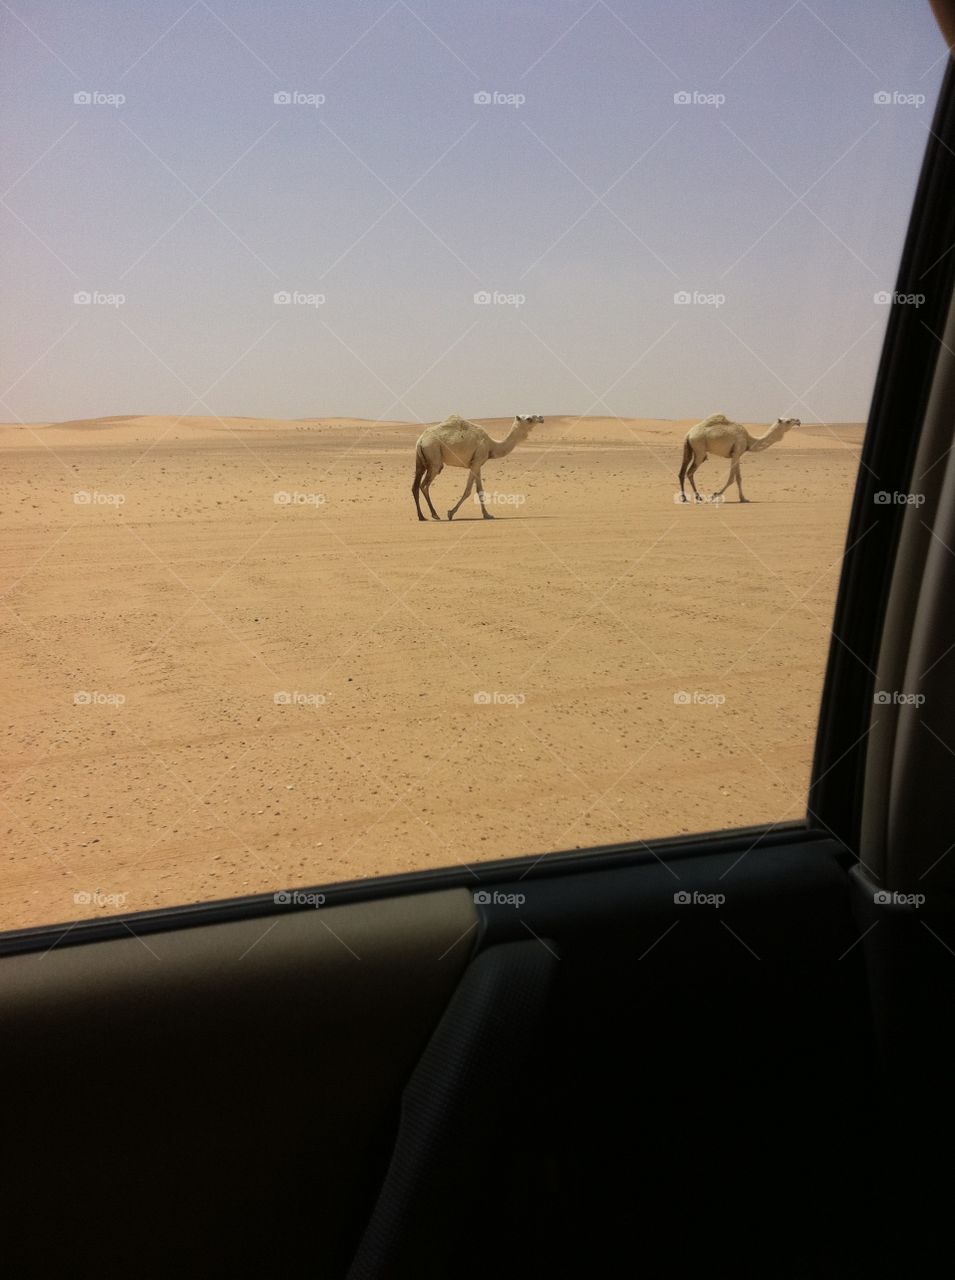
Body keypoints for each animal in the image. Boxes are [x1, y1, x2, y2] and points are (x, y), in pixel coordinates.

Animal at [412, 413, 543, 521]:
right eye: (529, 418)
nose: (541, 418)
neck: (491, 446)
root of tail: (420, 440)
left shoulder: (477, 464)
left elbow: (479, 490)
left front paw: (487, 514)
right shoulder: (476, 461)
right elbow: (468, 490)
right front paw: (451, 513)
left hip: (421, 461)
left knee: (415, 486)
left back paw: (421, 516)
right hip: (434, 457)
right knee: (424, 485)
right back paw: (434, 514)